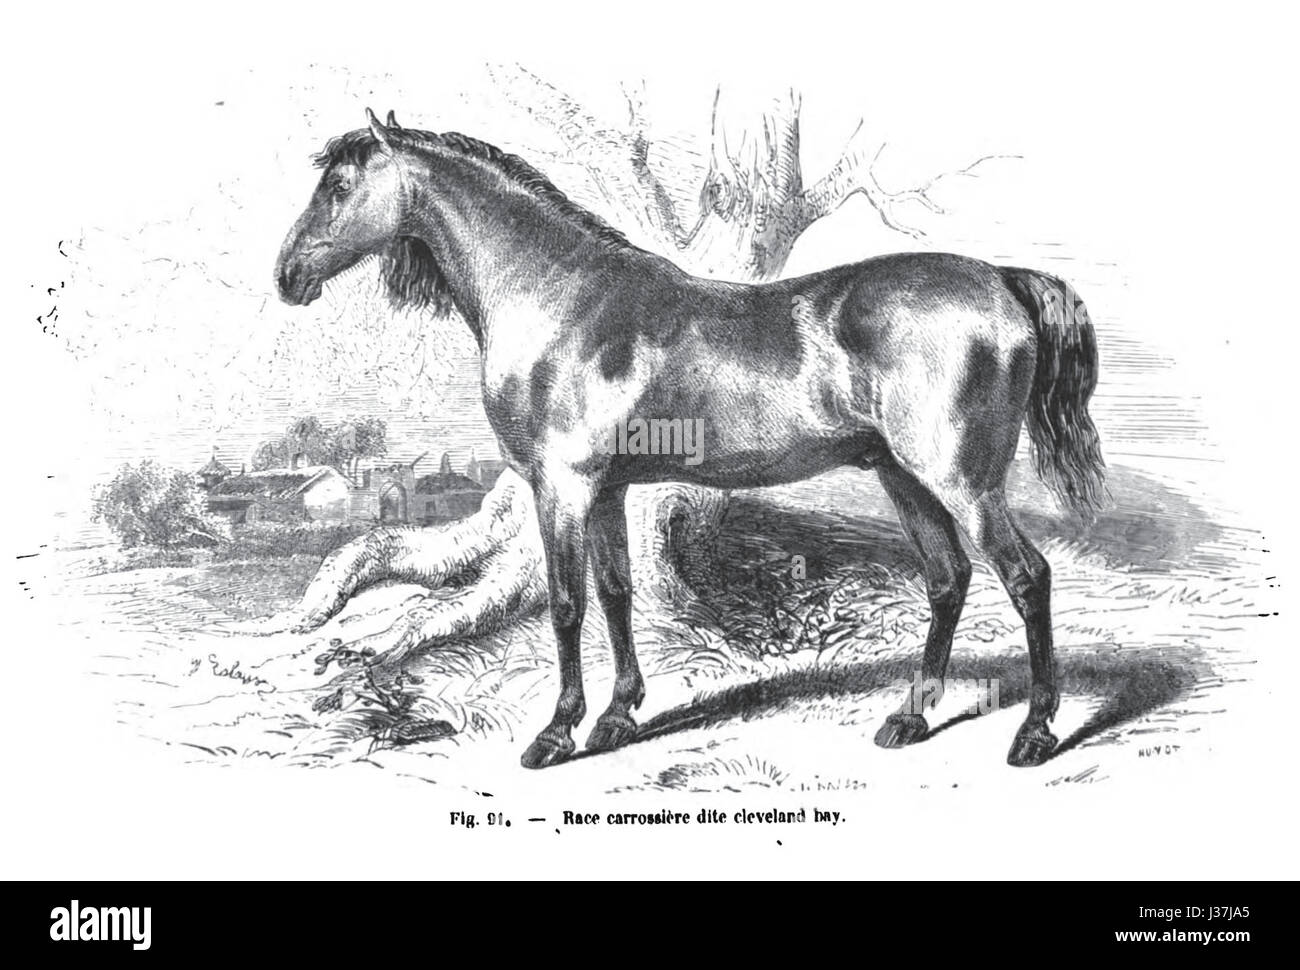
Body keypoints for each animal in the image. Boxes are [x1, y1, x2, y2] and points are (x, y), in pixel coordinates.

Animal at [275, 108, 1106, 770]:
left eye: (340, 186)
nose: (287, 275)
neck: (559, 298)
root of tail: (1000, 280)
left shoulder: (563, 486)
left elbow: (568, 604)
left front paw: (556, 733)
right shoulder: (607, 489)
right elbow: (616, 593)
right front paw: (618, 716)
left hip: (962, 481)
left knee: (1026, 577)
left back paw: (1035, 734)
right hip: (904, 477)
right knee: (948, 580)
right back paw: (908, 719)